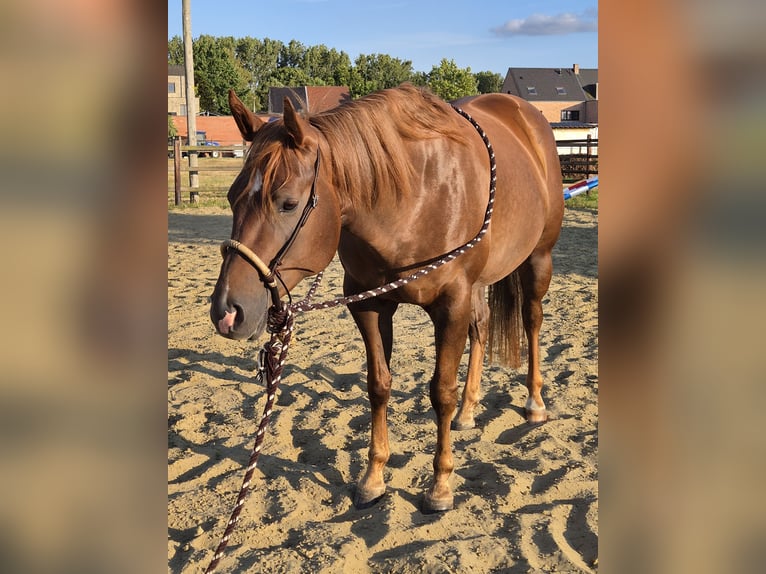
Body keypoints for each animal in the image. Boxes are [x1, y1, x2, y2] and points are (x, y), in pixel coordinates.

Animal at [210, 83, 564, 512]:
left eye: (288, 203)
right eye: (232, 197)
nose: (226, 312)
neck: (413, 200)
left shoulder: (452, 303)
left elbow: (440, 391)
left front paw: (440, 485)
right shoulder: (368, 304)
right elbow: (378, 385)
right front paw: (373, 477)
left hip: (538, 259)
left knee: (531, 321)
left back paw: (534, 403)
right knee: (480, 328)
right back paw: (468, 409)